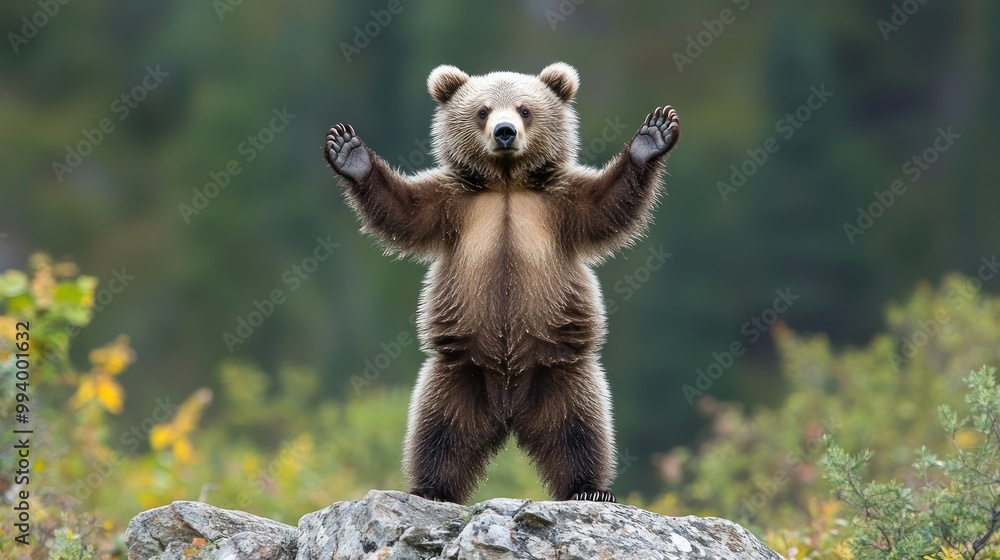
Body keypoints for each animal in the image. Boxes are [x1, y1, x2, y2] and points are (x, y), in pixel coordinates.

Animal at [323, 62, 679, 503]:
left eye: (525, 109)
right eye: (483, 110)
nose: (505, 131)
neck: (506, 183)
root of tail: (509, 411)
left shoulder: (559, 204)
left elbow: (606, 205)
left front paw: (652, 136)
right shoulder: (452, 205)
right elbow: (404, 211)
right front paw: (349, 151)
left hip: (562, 373)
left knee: (580, 429)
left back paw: (589, 489)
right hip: (457, 375)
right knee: (438, 432)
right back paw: (431, 489)